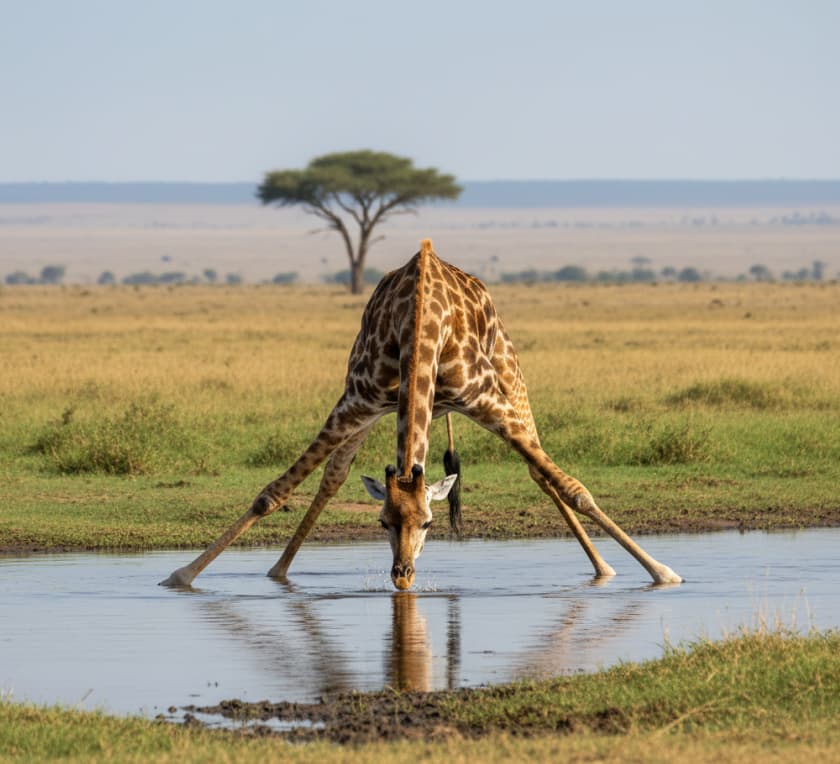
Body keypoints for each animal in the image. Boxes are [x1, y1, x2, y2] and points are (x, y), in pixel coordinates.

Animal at [161, 240, 681, 589]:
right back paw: (280, 569)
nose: (403, 577)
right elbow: (272, 493)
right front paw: (183, 574)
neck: (420, 330)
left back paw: (603, 568)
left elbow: (574, 488)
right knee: (334, 476)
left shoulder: (487, 401)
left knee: (541, 471)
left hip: (510, 379)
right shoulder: (356, 401)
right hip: (377, 409)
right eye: (382, 523)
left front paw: (662, 572)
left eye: (429, 523)